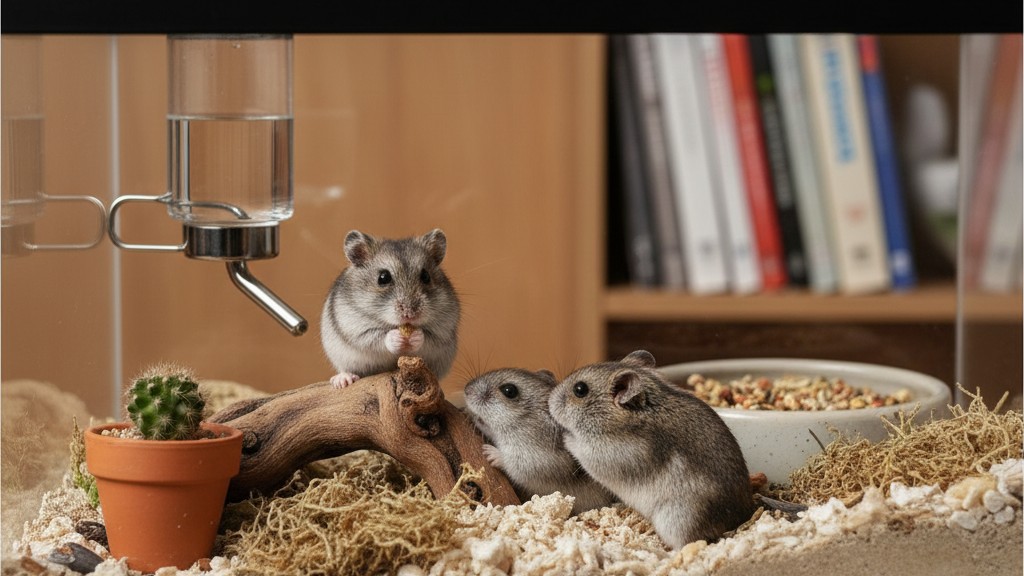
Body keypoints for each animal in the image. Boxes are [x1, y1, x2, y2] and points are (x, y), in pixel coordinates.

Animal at [320, 229, 461, 388]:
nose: (410, 314)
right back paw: (343, 381)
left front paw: (416, 336)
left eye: (426, 276)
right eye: (383, 278)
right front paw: (396, 337)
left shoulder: (443, 332)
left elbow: (427, 337)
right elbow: (379, 336)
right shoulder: (356, 329)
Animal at [548, 350, 755, 549]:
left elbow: (578, 447)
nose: (549, 400)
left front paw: (565, 436)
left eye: (580, 389)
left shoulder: (607, 455)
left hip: (677, 520)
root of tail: (740, 519)